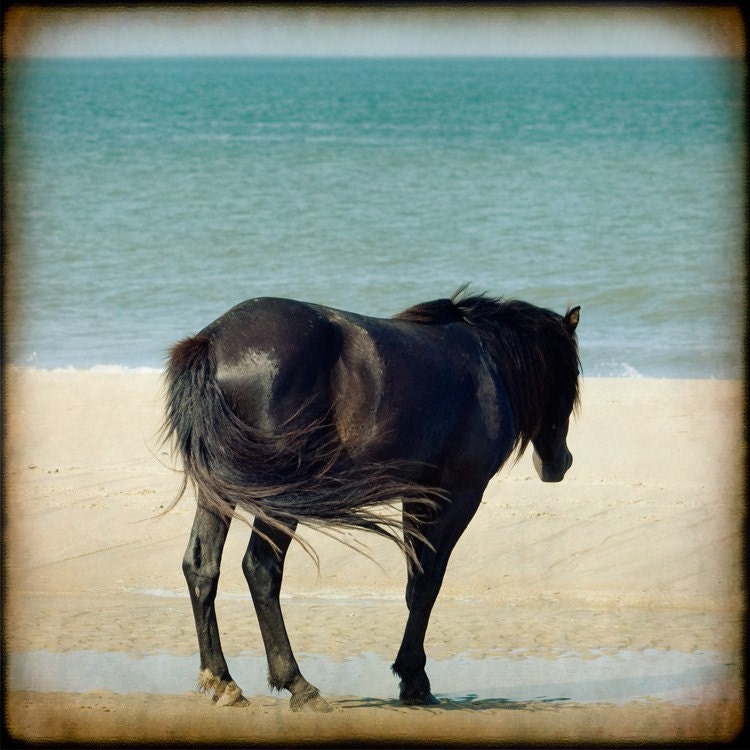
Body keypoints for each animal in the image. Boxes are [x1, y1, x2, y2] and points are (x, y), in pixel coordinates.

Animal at [162, 288, 580, 711]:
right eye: (574, 374)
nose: (559, 464)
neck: (487, 362)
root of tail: (213, 341)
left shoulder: (419, 494)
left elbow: (416, 584)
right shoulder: (459, 495)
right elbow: (428, 583)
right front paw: (415, 679)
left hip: (221, 489)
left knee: (201, 566)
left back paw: (223, 681)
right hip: (279, 495)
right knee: (261, 569)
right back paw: (299, 685)